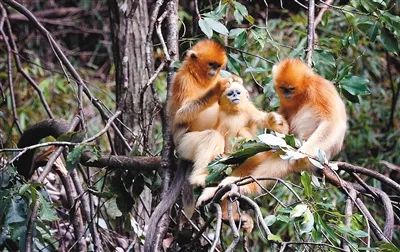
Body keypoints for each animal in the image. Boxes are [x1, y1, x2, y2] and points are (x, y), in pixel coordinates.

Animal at [198, 59, 348, 232]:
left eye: (291, 88)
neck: (302, 94)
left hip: (312, 159)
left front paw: (301, 152)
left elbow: (332, 123)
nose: (287, 94)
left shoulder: (321, 89)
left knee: (282, 161)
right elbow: (283, 126)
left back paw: (245, 188)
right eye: (283, 89)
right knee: (257, 155)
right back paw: (227, 191)